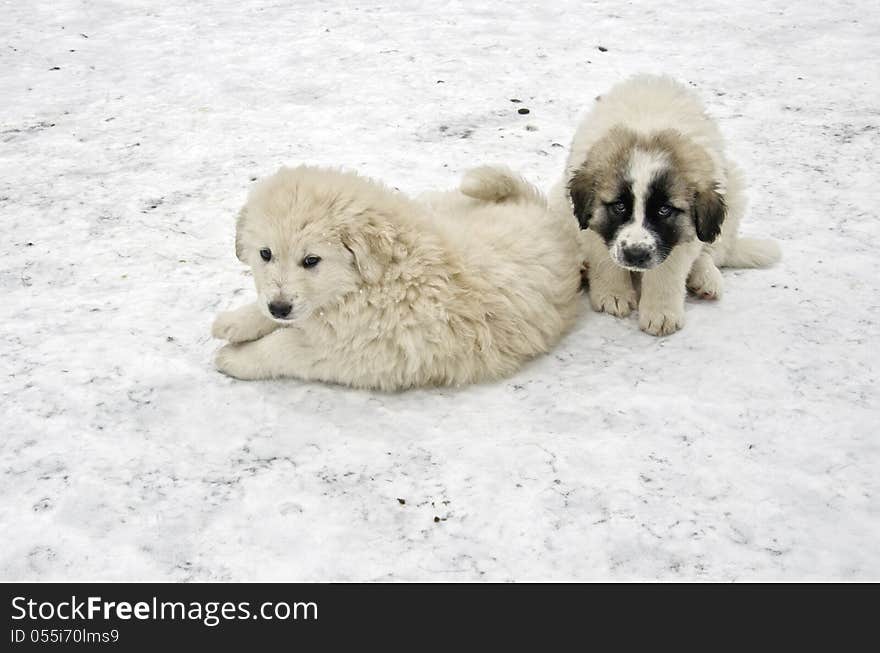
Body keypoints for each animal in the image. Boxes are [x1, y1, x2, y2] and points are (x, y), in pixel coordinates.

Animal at [211, 166, 584, 390]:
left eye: (311, 260)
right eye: (265, 254)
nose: (279, 307)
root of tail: (538, 209)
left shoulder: (352, 352)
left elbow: (283, 346)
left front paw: (236, 358)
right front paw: (235, 321)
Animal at [552, 74, 780, 334]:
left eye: (664, 210)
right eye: (619, 206)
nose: (635, 254)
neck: (648, 130)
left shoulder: (680, 236)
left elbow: (667, 270)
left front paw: (661, 314)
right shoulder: (590, 223)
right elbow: (604, 257)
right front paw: (613, 294)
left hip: (732, 193)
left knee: (712, 252)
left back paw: (706, 279)